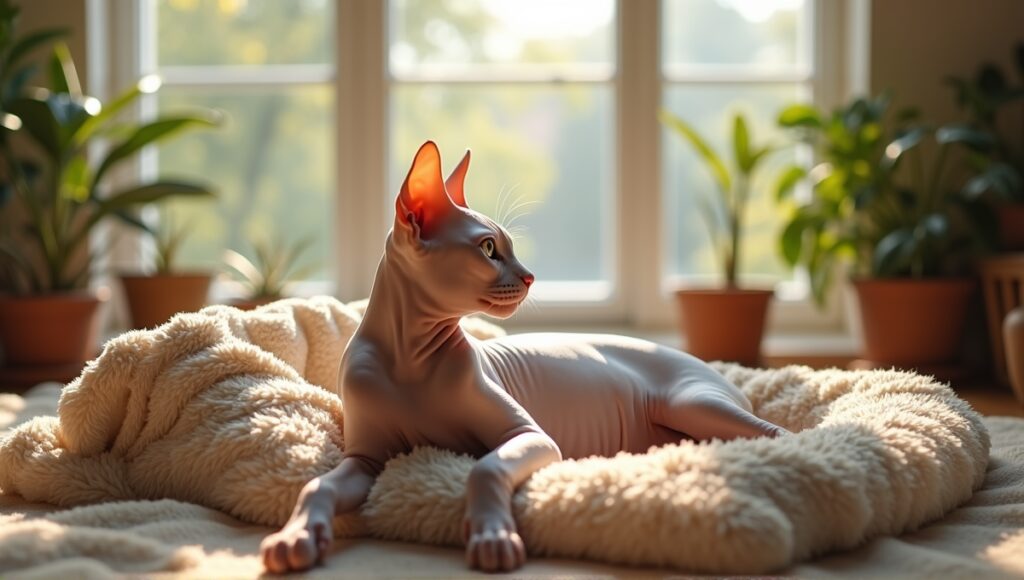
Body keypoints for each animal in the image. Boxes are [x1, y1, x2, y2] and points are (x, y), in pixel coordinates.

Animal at [260, 142, 786, 577]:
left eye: (508, 246)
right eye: (489, 248)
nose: (531, 276)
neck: (410, 359)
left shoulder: (528, 435)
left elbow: (485, 466)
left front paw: (492, 536)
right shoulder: (366, 459)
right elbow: (318, 486)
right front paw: (296, 537)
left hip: (690, 403)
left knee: (780, 433)